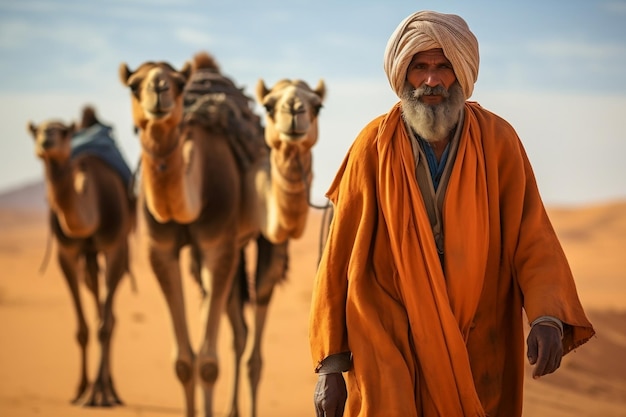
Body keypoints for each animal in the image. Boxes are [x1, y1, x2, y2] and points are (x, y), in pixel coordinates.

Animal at [27, 105, 135, 406]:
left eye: (63, 132)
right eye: (38, 131)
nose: (46, 142)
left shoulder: (114, 246)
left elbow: (104, 326)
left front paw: (98, 395)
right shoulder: (66, 253)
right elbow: (83, 328)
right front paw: (80, 390)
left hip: (116, 252)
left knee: (109, 317)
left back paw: (111, 391)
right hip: (88, 260)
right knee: (98, 303)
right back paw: (102, 387)